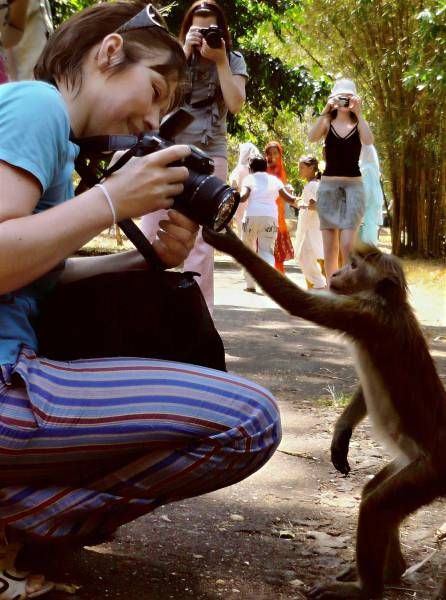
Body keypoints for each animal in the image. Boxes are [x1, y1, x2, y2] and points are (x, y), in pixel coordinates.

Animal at [203, 226, 446, 600]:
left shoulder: (363, 315)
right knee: (373, 494)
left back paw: (366, 590)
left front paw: (228, 241)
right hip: (411, 462)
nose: (335, 273)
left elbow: (300, 305)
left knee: (376, 507)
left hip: (429, 472)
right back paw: (392, 572)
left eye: (354, 266)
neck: (389, 304)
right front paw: (342, 431)